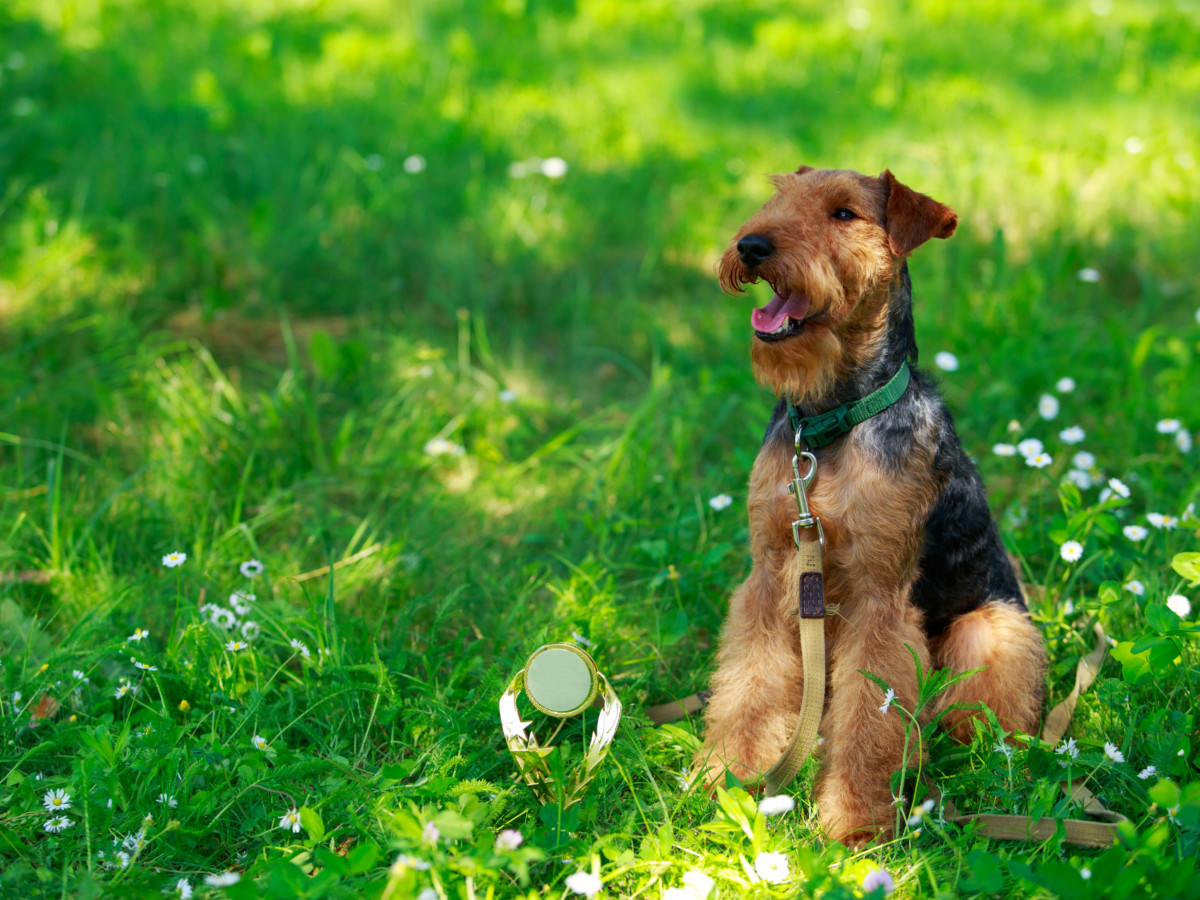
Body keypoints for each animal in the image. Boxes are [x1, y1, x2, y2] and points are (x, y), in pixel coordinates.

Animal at [700, 168, 1046, 844]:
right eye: (777, 196)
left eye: (844, 213)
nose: (752, 246)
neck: (830, 422)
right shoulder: (769, 574)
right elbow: (749, 686)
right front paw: (725, 773)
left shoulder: (879, 598)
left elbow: (870, 719)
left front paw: (855, 823)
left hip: (986, 626)